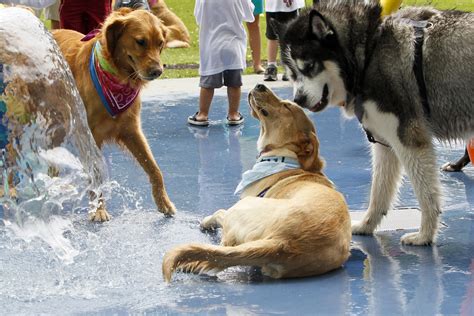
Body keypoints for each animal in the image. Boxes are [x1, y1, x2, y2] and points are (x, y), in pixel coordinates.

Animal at [163, 84, 352, 282]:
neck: (283, 157)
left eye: (287, 106)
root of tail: (281, 243)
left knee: (222, 233)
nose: (260, 85)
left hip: (241, 207)